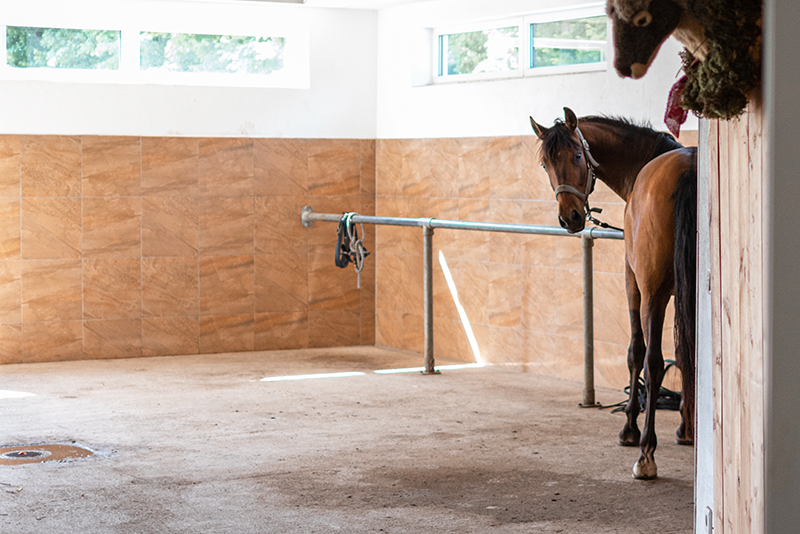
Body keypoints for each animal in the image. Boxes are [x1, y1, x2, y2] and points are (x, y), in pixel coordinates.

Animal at [528, 109, 696, 482]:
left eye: (578, 155)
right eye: (545, 164)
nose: (571, 218)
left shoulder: (633, 282)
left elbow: (637, 353)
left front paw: (630, 429)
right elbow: (686, 351)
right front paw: (687, 426)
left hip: (651, 293)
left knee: (653, 360)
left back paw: (646, 452)